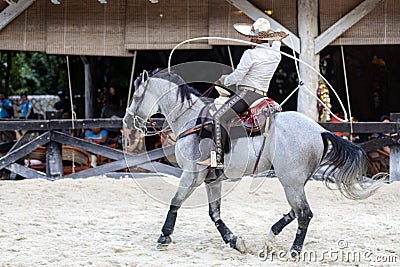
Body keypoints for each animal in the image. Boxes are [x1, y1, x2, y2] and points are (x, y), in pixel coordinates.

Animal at [123, 70, 380, 258]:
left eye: (135, 96)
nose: (126, 120)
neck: (190, 119)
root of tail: (319, 130)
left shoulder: (191, 175)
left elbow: (175, 201)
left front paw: (164, 236)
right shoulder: (211, 180)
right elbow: (214, 214)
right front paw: (235, 241)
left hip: (291, 182)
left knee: (304, 213)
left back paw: (294, 251)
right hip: (295, 182)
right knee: (296, 211)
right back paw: (272, 235)